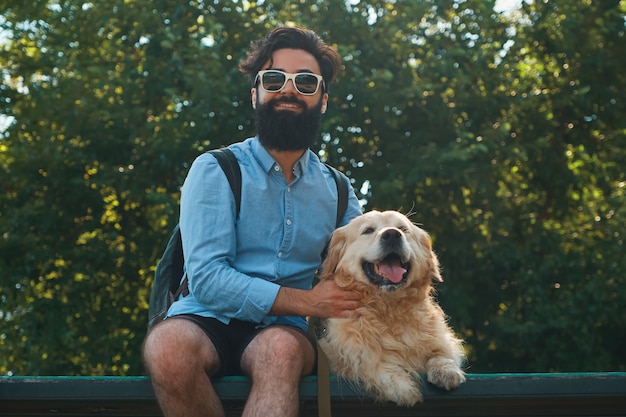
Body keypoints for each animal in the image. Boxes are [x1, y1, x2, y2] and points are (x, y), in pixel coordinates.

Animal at [316, 210, 464, 404]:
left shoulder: (440, 340)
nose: (392, 235)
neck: (389, 307)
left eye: (403, 229)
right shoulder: (344, 352)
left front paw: (446, 370)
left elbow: (440, 352)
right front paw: (403, 386)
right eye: (368, 230)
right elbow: (370, 362)